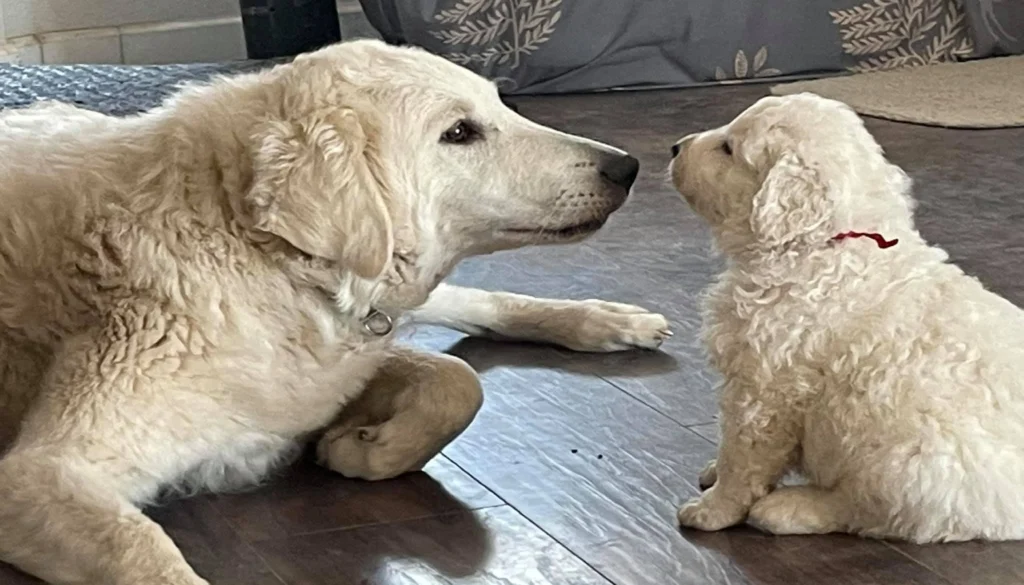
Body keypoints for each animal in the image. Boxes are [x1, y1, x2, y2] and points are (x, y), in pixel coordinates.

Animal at [0, 38, 671, 581]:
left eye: (500, 107)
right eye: (460, 133)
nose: (629, 167)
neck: (261, 256)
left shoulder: (329, 373)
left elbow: (459, 382)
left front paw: (365, 449)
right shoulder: (40, 477)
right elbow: (143, 552)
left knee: (476, 303)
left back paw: (607, 320)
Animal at [667, 92, 1024, 545]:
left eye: (728, 149)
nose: (675, 148)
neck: (824, 244)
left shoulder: (766, 388)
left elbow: (743, 455)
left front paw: (712, 508)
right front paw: (713, 473)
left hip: (911, 462)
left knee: (877, 513)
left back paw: (789, 509)